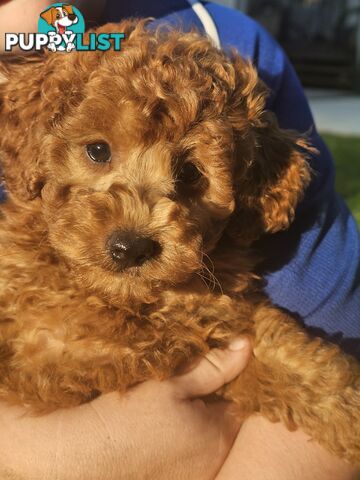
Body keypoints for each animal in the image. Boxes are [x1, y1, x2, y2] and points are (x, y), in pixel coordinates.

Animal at [0, 20, 360, 464]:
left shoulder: (223, 319)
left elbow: (290, 355)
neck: (121, 302)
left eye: (191, 173)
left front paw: (347, 408)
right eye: (97, 150)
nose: (131, 247)